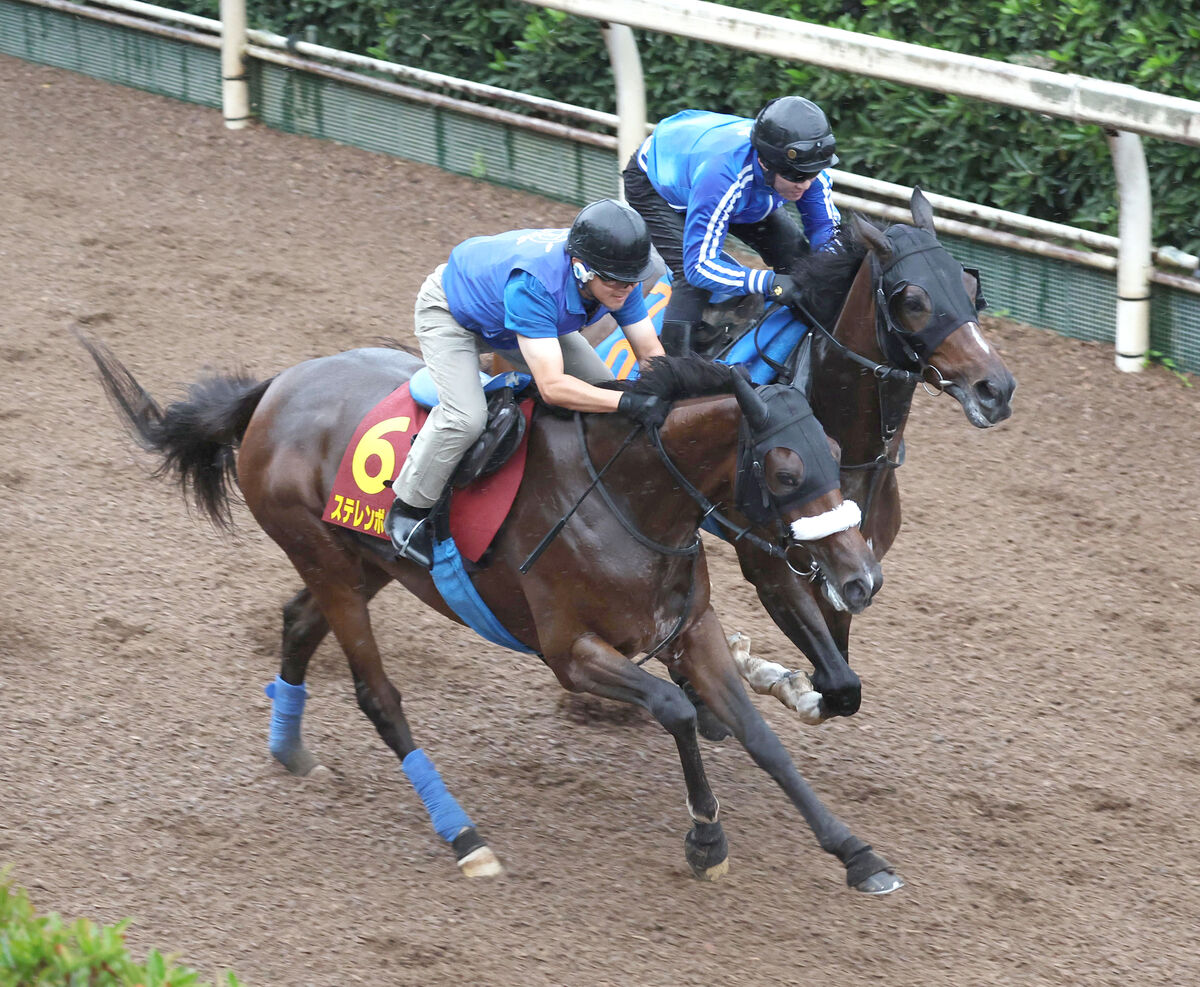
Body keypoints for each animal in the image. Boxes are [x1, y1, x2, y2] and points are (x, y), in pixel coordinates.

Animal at [82, 341, 902, 898]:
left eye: (835, 449)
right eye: (786, 469)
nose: (860, 579)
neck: (630, 501)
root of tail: (272, 392)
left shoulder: (689, 631)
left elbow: (762, 738)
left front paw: (857, 853)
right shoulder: (570, 652)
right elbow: (673, 709)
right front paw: (705, 837)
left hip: (362, 565)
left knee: (297, 623)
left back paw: (289, 749)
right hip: (328, 562)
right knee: (377, 696)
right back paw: (464, 837)